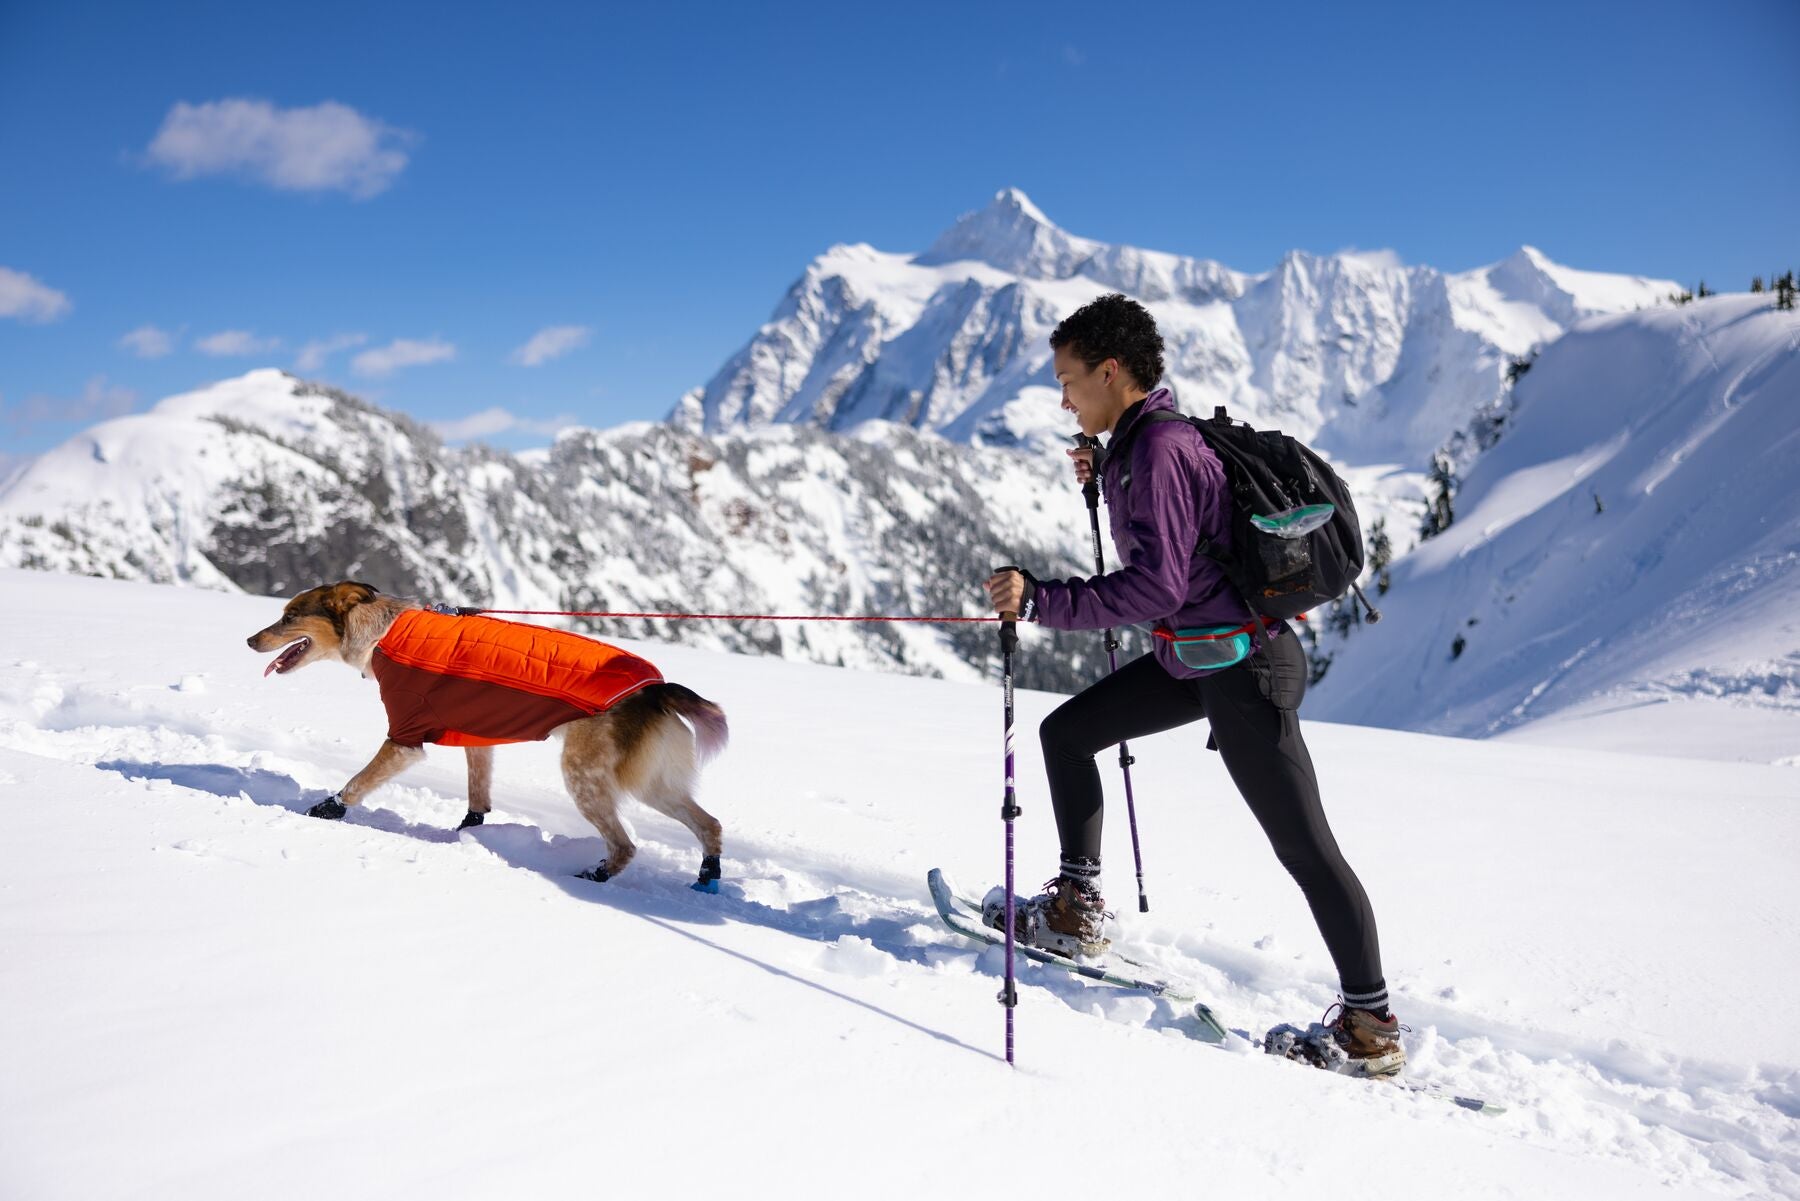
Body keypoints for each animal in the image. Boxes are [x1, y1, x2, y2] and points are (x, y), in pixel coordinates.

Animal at [246, 583, 730, 893]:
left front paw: (324, 811)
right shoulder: (476, 740)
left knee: (625, 845)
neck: (383, 633)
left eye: (289, 616)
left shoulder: (404, 738)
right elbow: (477, 799)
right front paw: (468, 834)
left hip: (585, 777)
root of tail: (656, 689)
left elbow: (356, 784)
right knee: (709, 823)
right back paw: (707, 874)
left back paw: (594, 878)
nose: (250, 640)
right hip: (652, 783)